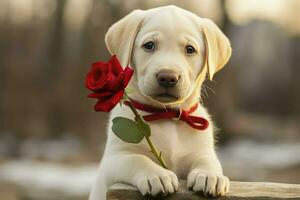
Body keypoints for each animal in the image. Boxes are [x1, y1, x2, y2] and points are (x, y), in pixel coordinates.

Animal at [90, 5, 231, 199]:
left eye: (190, 49)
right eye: (149, 45)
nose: (168, 77)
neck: (167, 115)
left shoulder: (200, 151)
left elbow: (208, 160)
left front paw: (209, 175)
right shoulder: (114, 160)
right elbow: (137, 159)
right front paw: (157, 175)